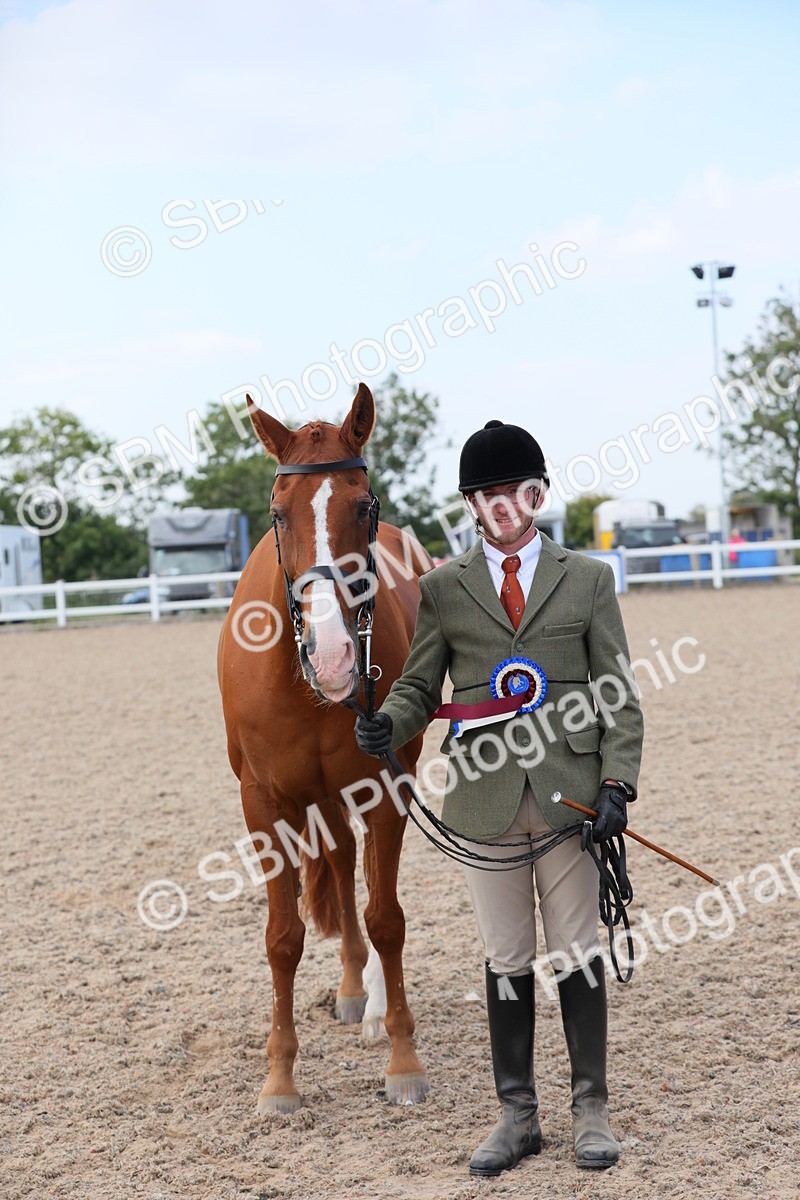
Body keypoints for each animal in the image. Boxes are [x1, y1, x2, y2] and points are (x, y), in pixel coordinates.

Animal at [217, 382, 433, 1113]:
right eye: (277, 514)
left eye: (363, 506)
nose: (336, 655)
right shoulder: (263, 802)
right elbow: (283, 940)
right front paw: (280, 1080)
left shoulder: (387, 787)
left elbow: (387, 918)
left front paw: (402, 1060)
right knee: (340, 863)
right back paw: (351, 989)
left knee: (363, 879)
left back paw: (373, 1006)